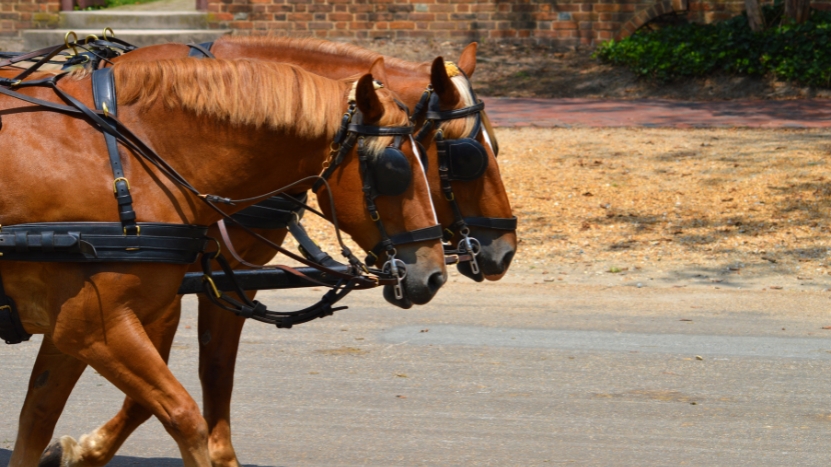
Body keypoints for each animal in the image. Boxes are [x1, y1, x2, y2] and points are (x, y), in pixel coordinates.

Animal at [27, 37, 518, 467]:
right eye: (466, 155)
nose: (505, 250)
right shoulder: (154, 291)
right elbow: (151, 392)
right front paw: (83, 451)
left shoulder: (221, 283)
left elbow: (215, 371)